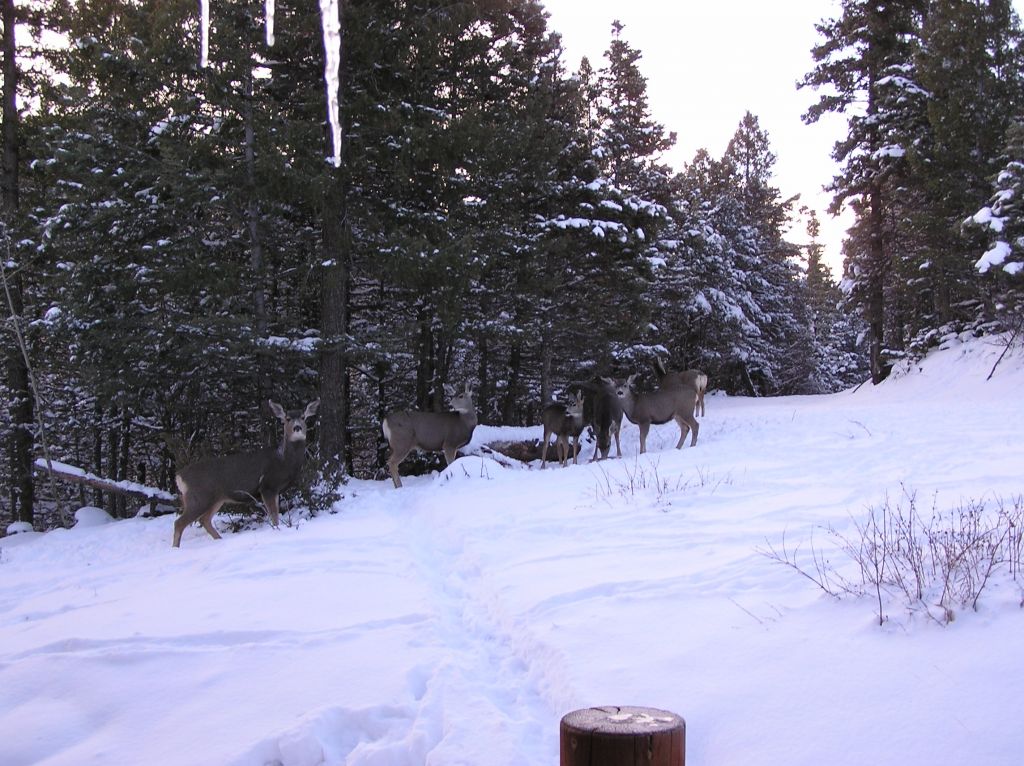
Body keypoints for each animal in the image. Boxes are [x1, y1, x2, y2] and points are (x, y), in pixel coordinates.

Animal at [172, 399, 320, 548]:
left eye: (303, 417)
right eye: (287, 418)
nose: (297, 428)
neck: (283, 461)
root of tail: (179, 476)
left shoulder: (276, 490)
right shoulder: (267, 486)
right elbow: (274, 515)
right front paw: (277, 530)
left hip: (216, 498)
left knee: (204, 520)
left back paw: (220, 540)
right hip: (199, 497)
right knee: (179, 522)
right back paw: (176, 548)